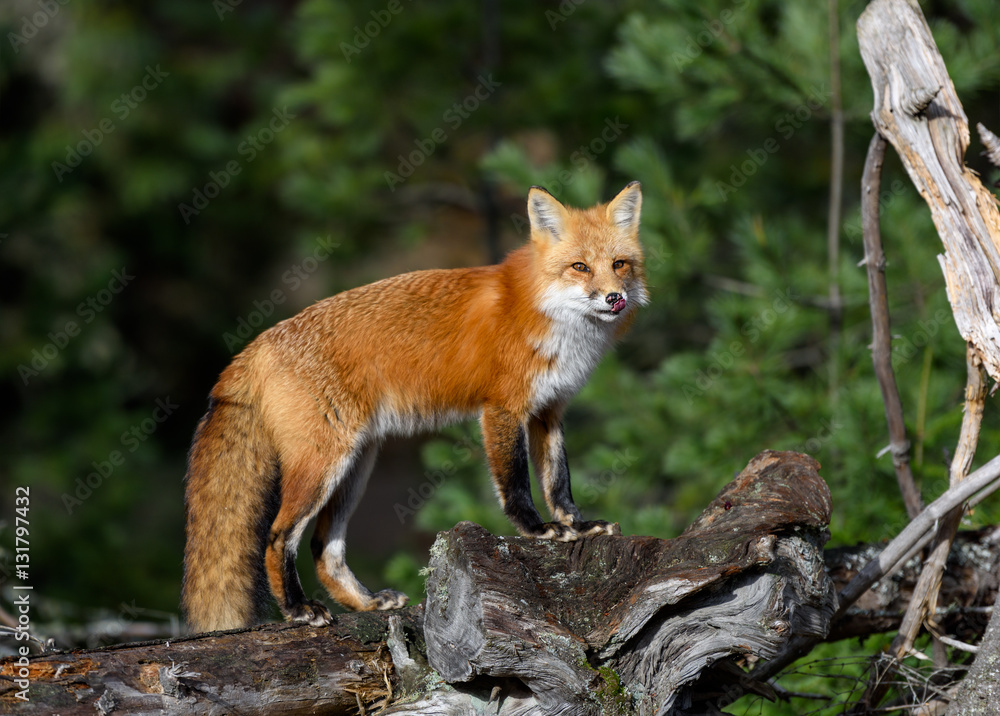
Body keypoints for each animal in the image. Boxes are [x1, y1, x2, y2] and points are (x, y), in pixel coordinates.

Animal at [182, 182, 646, 632]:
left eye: (620, 264)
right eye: (580, 267)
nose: (614, 298)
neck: (548, 314)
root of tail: (255, 345)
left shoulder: (549, 410)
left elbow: (559, 482)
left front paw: (577, 527)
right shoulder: (503, 408)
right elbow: (516, 482)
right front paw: (537, 529)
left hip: (355, 466)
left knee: (323, 548)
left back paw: (365, 603)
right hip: (322, 465)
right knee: (278, 537)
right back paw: (298, 610)